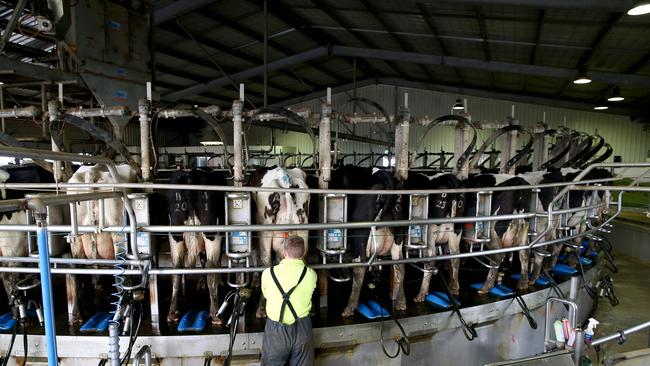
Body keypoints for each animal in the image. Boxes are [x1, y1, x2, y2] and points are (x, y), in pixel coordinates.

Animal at [166, 167, 227, 324]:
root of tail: (190, 174)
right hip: (213, 234)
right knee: (212, 267)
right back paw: (215, 313)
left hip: (175, 234)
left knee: (176, 269)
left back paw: (172, 312)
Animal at [330, 166, 404, 318]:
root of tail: (381, 173)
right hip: (399, 236)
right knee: (400, 266)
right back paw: (401, 302)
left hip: (359, 235)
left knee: (360, 268)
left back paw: (349, 308)